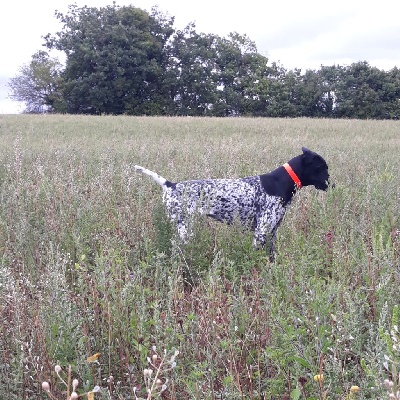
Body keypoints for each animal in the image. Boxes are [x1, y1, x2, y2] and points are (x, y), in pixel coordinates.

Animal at [134, 148, 328, 260]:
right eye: (322, 167)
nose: (331, 184)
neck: (282, 182)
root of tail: (170, 185)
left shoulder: (272, 231)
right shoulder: (261, 232)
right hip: (184, 229)